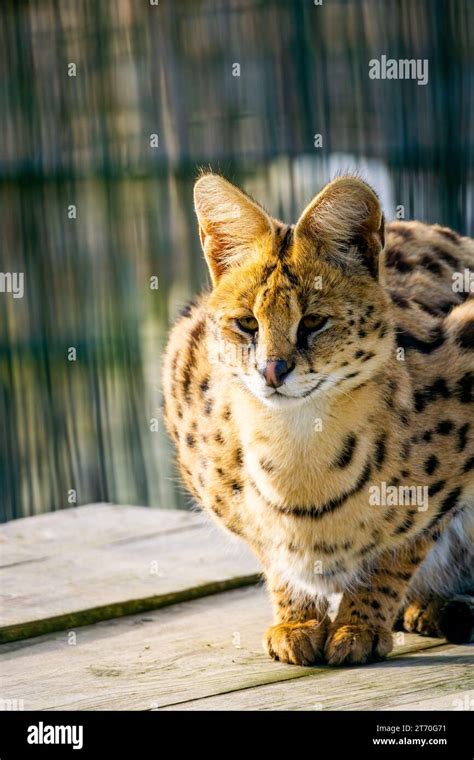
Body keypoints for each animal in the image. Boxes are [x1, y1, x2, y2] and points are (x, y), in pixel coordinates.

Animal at [161, 175, 472, 664]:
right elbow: (273, 551)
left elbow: (401, 548)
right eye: (247, 324)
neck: (298, 441)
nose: (272, 370)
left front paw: (359, 624)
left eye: (313, 322)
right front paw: (297, 621)